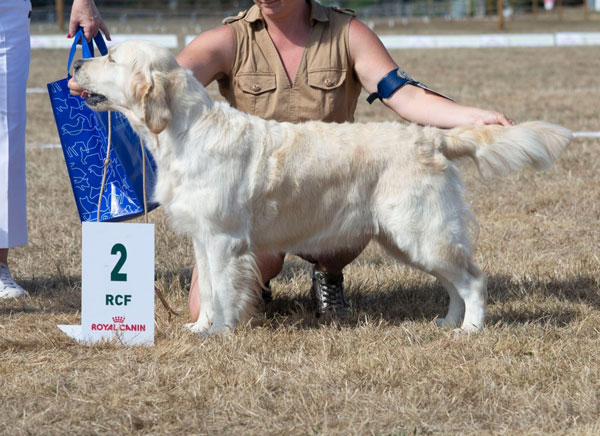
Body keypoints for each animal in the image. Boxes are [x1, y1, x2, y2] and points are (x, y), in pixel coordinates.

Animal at [71, 40, 572, 334]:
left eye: (110, 57)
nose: (75, 62)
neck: (182, 132)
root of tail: (429, 135)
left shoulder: (223, 240)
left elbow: (223, 291)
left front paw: (220, 335)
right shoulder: (202, 238)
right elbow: (208, 293)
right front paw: (200, 330)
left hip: (420, 231)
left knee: (473, 279)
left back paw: (471, 329)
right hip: (407, 238)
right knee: (453, 283)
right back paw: (448, 322)